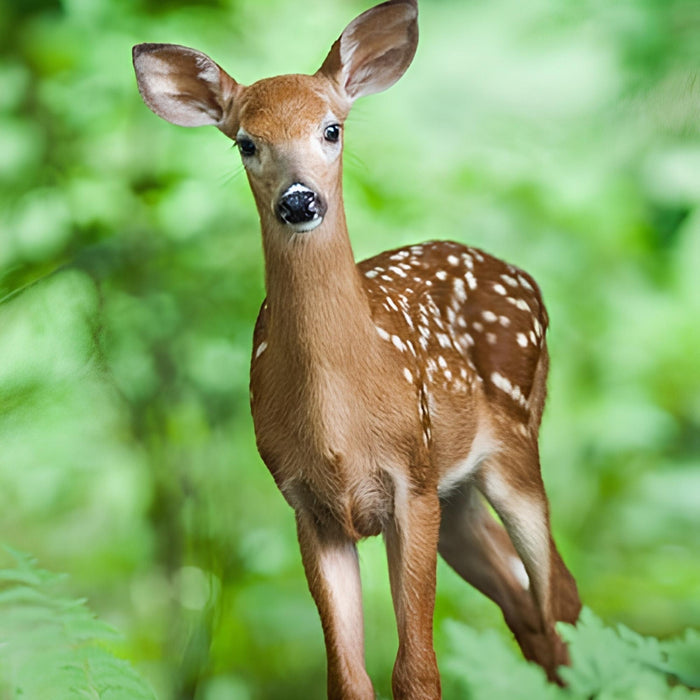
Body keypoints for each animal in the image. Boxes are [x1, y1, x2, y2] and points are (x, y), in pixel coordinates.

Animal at [132, 0, 581, 697]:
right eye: (246, 142)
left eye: (332, 129)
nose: (299, 200)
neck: (339, 426)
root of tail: (524, 277)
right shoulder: (307, 505)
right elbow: (347, 677)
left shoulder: (411, 483)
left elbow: (417, 672)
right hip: (458, 499)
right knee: (530, 609)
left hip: (512, 445)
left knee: (558, 593)